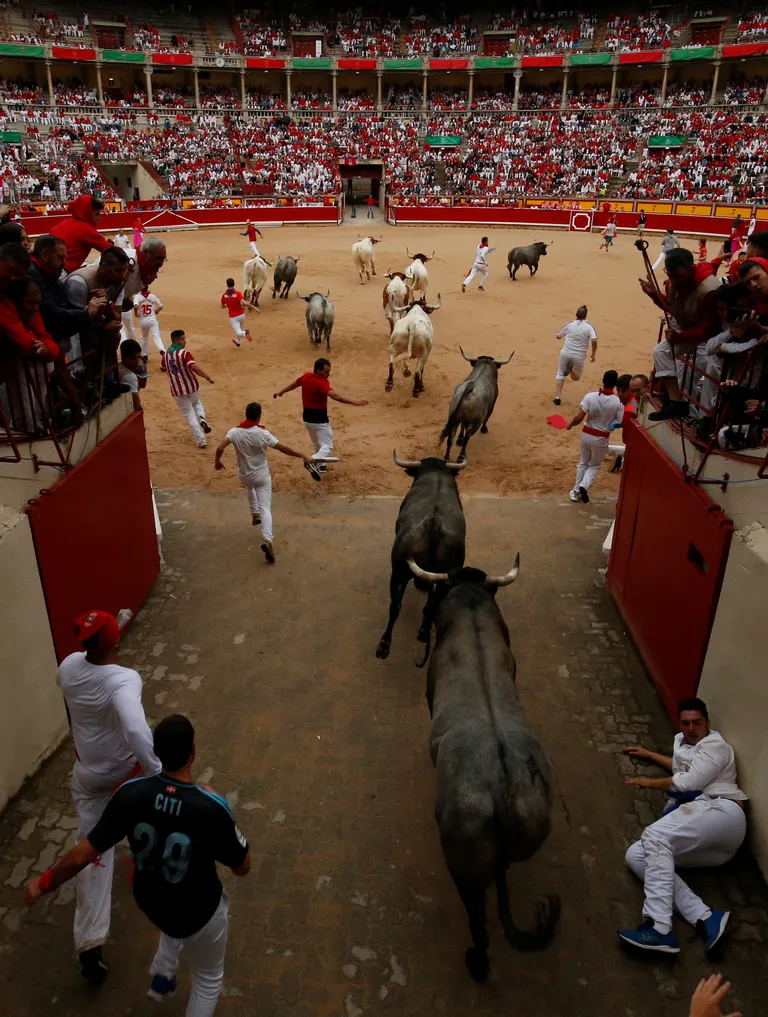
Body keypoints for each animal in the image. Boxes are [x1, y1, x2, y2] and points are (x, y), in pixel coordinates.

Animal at [376, 451, 467, 659]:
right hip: (444, 575)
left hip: (398, 572)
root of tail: (433, 525)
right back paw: (424, 631)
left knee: (395, 605)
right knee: (432, 603)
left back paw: (384, 645)